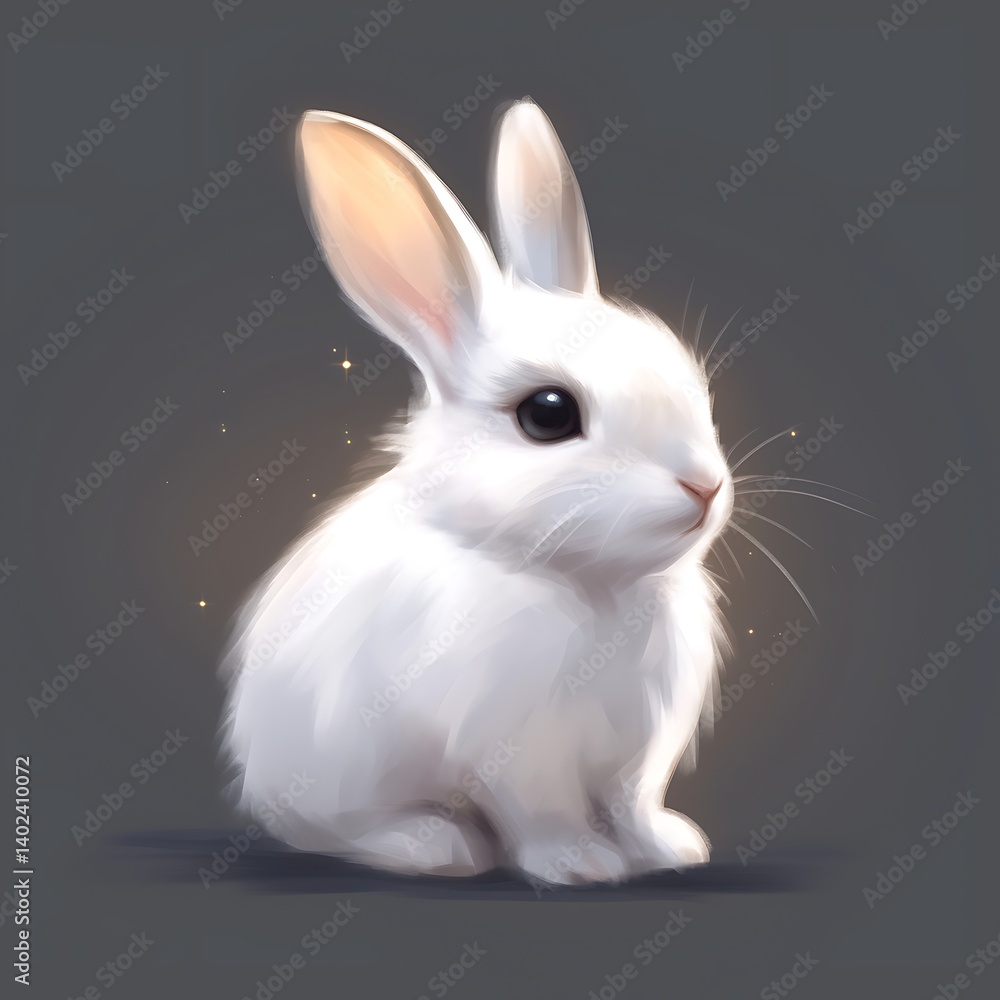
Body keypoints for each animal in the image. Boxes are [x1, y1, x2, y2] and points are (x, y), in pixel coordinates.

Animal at [219, 98, 734, 885]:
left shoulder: (640, 753)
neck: (586, 583)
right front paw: (581, 866)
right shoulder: (515, 751)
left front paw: (670, 849)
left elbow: (633, 804)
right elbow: (544, 812)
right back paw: (433, 845)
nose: (704, 486)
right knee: (331, 831)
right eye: (548, 414)